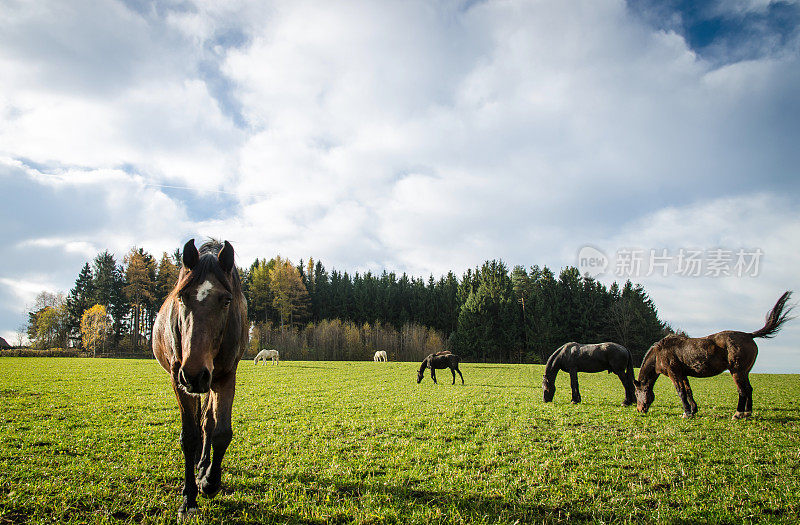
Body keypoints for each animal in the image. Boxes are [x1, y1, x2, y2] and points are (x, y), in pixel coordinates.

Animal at [152, 238, 247, 520]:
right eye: (182, 297)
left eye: (226, 300)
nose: (195, 374)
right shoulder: (179, 378)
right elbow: (190, 436)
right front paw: (189, 498)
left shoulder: (225, 377)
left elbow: (220, 432)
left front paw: (209, 482)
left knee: (207, 422)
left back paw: (204, 467)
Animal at [636, 288, 792, 420]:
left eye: (637, 393)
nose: (639, 409)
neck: (659, 354)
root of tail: (749, 335)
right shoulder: (683, 374)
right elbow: (688, 391)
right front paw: (693, 410)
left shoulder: (674, 374)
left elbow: (681, 392)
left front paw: (686, 413)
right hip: (744, 372)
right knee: (748, 389)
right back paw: (747, 413)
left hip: (737, 372)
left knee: (742, 391)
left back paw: (738, 414)